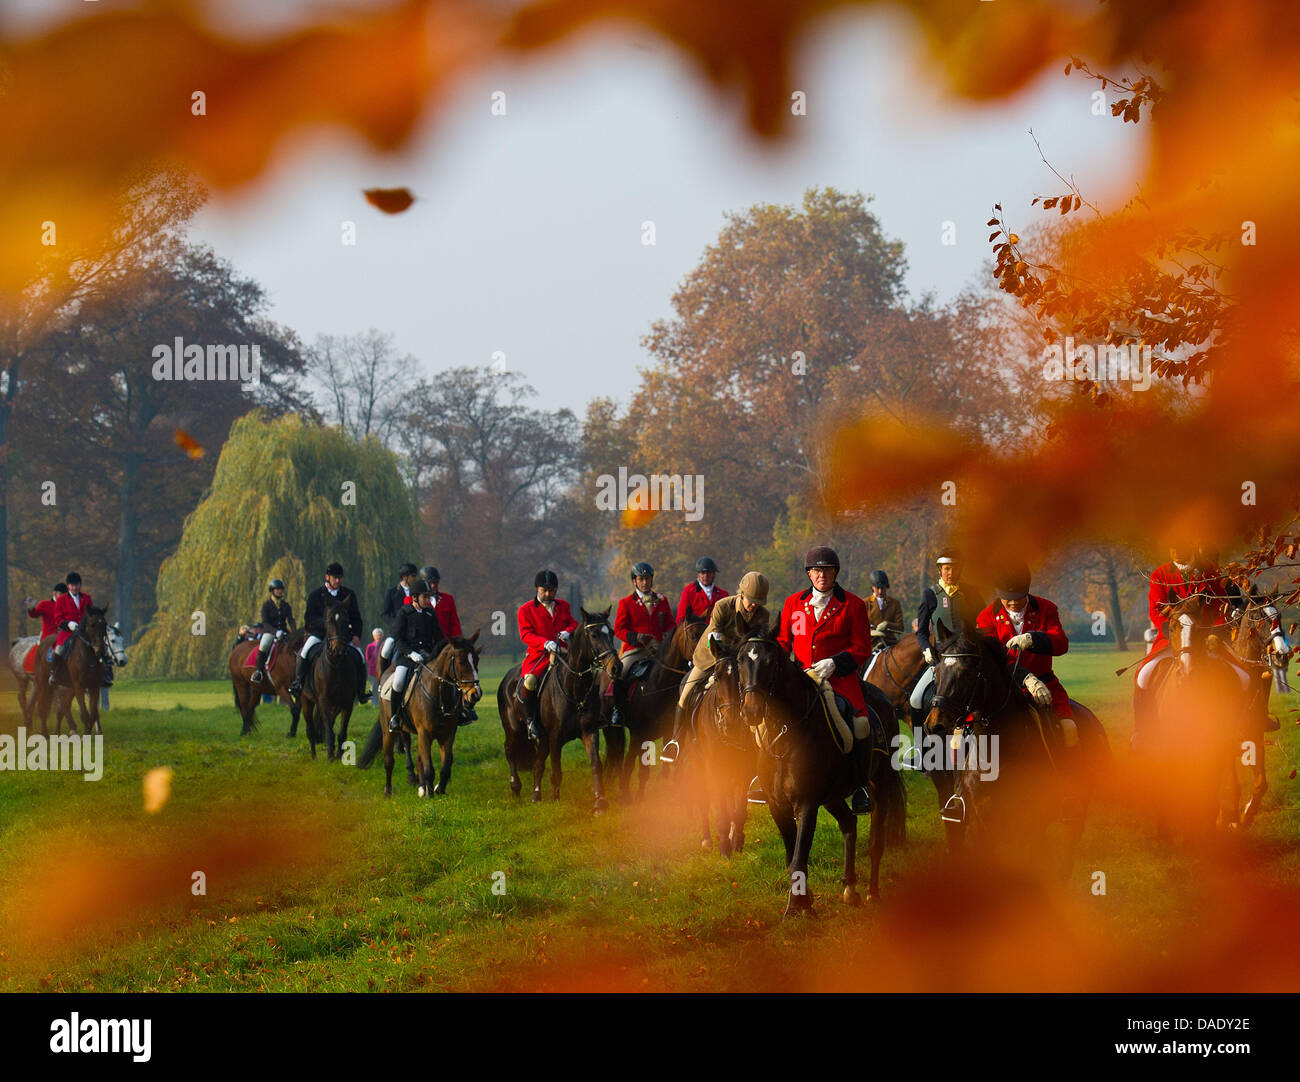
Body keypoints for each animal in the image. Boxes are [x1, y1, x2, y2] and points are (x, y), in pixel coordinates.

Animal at [300, 600, 366, 759]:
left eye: (346, 621)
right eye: (329, 620)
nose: (338, 650)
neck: (336, 665)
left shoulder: (347, 702)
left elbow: (341, 731)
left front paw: (339, 755)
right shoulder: (324, 699)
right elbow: (328, 730)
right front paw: (330, 755)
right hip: (306, 700)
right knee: (310, 729)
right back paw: (314, 756)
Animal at [358, 634, 486, 795]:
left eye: (476, 660)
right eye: (461, 662)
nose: (476, 694)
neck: (439, 694)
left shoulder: (448, 733)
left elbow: (445, 765)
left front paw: (439, 789)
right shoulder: (424, 732)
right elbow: (429, 767)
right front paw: (429, 794)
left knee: (411, 750)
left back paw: (419, 783)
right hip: (389, 729)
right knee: (390, 759)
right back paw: (390, 789)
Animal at [493, 608, 621, 811]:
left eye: (611, 632)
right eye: (593, 634)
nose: (616, 666)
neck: (575, 687)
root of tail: (506, 678)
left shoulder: (589, 732)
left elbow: (596, 764)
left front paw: (600, 801)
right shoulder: (555, 737)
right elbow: (556, 770)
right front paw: (555, 799)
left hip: (543, 738)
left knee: (537, 763)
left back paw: (536, 795)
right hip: (514, 729)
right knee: (510, 750)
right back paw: (516, 788)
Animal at [603, 613, 707, 801]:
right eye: (694, 635)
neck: (658, 685)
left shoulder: (668, 732)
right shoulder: (639, 734)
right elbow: (635, 767)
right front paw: (631, 796)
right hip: (610, 727)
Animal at [733, 629, 904, 915]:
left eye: (770, 662)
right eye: (740, 660)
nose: (751, 710)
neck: (785, 733)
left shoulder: (806, 804)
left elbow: (799, 857)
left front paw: (798, 908)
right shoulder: (777, 806)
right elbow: (791, 856)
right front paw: (804, 899)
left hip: (879, 783)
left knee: (875, 840)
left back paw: (873, 892)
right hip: (832, 796)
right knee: (849, 824)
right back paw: (850, 888)